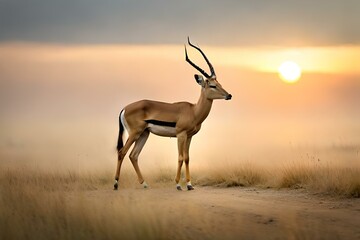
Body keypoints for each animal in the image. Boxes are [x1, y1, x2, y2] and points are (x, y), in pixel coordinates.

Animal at [115, 37, 233, 191]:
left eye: (219, 83)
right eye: (212, 85)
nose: (229, 95)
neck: (193, 111)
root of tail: (124, 108)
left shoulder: (189, 136)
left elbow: (187, 158)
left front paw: (189, 185)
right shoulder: (180, 135)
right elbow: (180, 157)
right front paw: (178, 184)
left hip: (144, 134)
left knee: (133, 155)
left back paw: (145, 184)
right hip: (134, 133)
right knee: (122, 152)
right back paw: (116, 184)